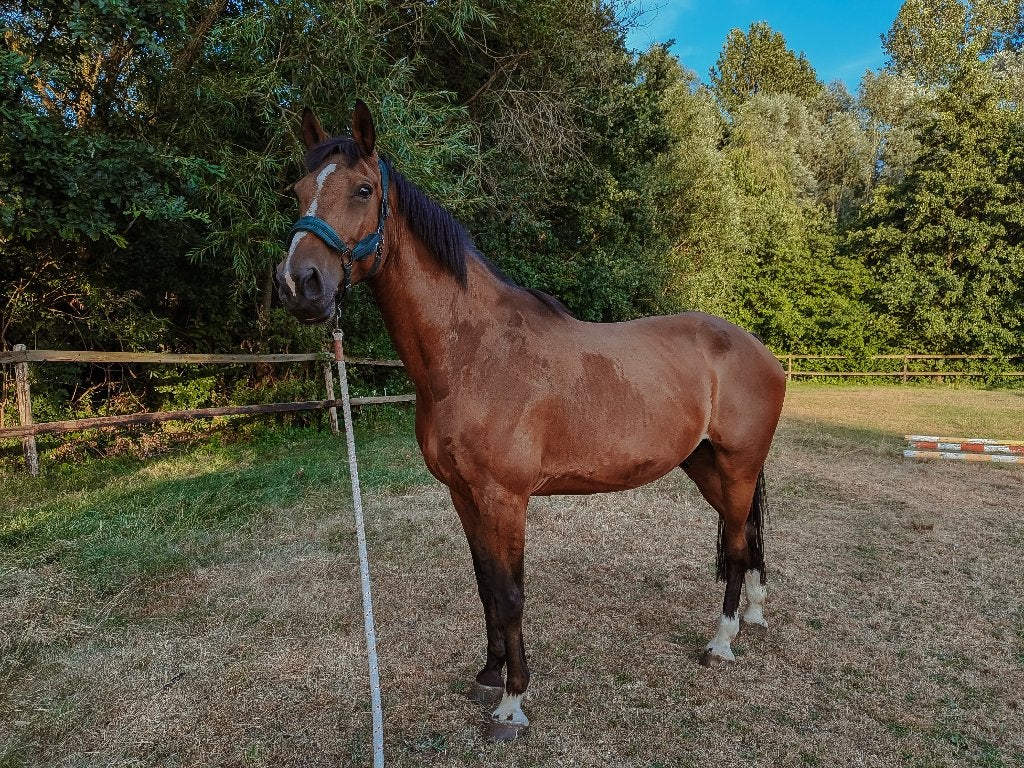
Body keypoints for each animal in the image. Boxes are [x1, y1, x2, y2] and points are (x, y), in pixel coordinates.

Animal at [275, 101, 787, 739]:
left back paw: (721, 641)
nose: (299, 284)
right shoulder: (464, 494)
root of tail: (761, 351)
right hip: (706, 466)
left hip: (739, 466)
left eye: (363, 189)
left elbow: (512, 593)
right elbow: (486, 588)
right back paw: (754, 616)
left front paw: (512, 704)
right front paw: (487, 676)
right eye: (298, 192)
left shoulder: (505, 497)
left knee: (739, 545)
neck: (473, 352)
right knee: (750, 536)